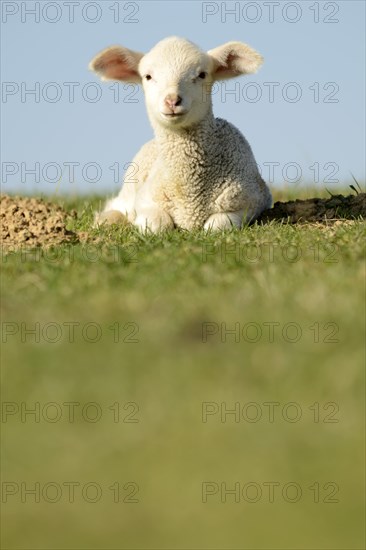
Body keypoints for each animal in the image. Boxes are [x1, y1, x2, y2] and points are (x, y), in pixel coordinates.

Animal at [89, 36, 272, 231]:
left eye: (202, 75)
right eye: (148, 76)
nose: (172, 100)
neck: (189, 195)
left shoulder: (251, 201)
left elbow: (216, 225)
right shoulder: (145, 201)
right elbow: (157, 224)